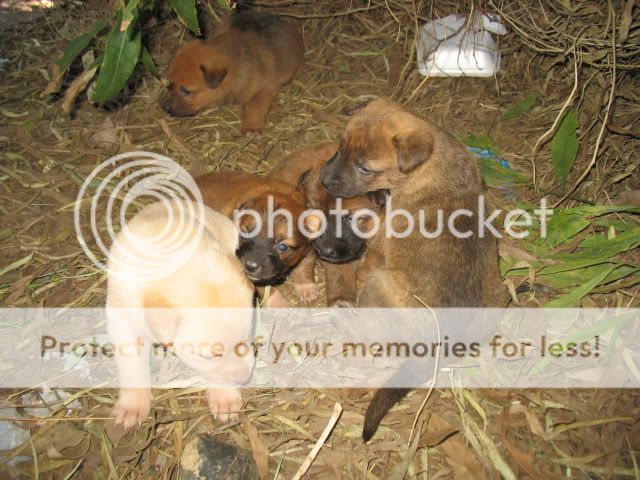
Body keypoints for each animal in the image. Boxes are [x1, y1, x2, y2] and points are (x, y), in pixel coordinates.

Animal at [106, 199, 254, 428]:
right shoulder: (122, 322)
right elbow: (131, 364)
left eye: (246, 338)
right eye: (207, 356)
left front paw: (225, 397)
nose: (245, 378)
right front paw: (132, 405)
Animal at [165, 9, 304, 133]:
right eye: (170, 85)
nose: (165, 107)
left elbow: (254, 107)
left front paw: (252, 127)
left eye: (187, 91)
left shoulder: (264, 89)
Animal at [195, 171, 322, 304]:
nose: (250, 266)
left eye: (282, 247)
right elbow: (267, 289)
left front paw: (306, 288)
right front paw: (278, 303)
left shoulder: (309, 248)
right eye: (244, 235)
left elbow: (306, 266)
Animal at [318, 99, 508, 440]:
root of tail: (443, 344)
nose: (323, 180)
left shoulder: (382, 235)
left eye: (365, 168)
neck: (431, 166)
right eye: (340, 147)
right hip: (499, 292)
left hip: (381, 286)